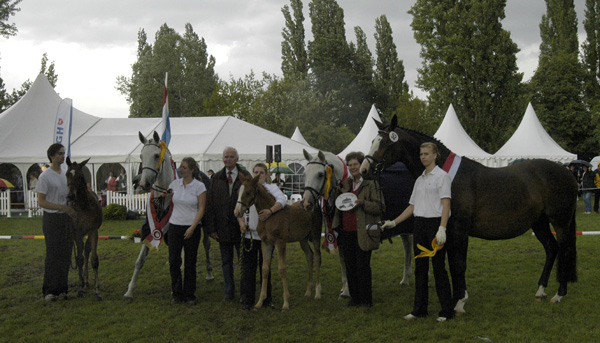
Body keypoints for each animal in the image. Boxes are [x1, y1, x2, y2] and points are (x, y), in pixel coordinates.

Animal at [66, 157, 103, 300]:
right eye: (67, 174)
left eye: (80, 176)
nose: (70, 196)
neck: (83, 206)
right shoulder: (77, 233)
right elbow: (79, 259)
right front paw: (80, 288)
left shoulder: (93, 231)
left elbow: (94, 259)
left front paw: (97, 290)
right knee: (81, 254)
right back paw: (83, 282)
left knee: (87, 251)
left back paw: (87, 281)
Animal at [233, 173, 324, 310]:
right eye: (238, 191)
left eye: (248, 192)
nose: (237, 212)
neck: (270, 217)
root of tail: (314, 204)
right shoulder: (266, 243)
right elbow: (265, 269)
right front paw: (260, 302)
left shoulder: (280, 243)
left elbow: (282, 269)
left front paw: (286, 303)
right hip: (302, 239)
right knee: (309, 256)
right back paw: (308, 292)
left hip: (315, 236)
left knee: (317, 257)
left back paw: (317, 293)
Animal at [302, 150, 414, 292]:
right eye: (305, 174)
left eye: (320, 174)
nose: (306, 203)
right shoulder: (339, 236)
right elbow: (343, 263)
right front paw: (345, 288)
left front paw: (347, 290)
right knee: (407, 246)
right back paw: (405, 279)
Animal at [358, 115, 580, 314]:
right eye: (372, 141)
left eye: (384, 143)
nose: (364, 170)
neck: (449, 178)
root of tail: (568, 173)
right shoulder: (447, 231)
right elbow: (452, 263)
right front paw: (455, 299)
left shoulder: (460, 230)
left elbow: (459, 264)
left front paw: (459, 303)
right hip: (539, 222)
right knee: (551, 248)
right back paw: (540, 291)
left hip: (560, 222)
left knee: (565, 249)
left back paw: (559, 294)